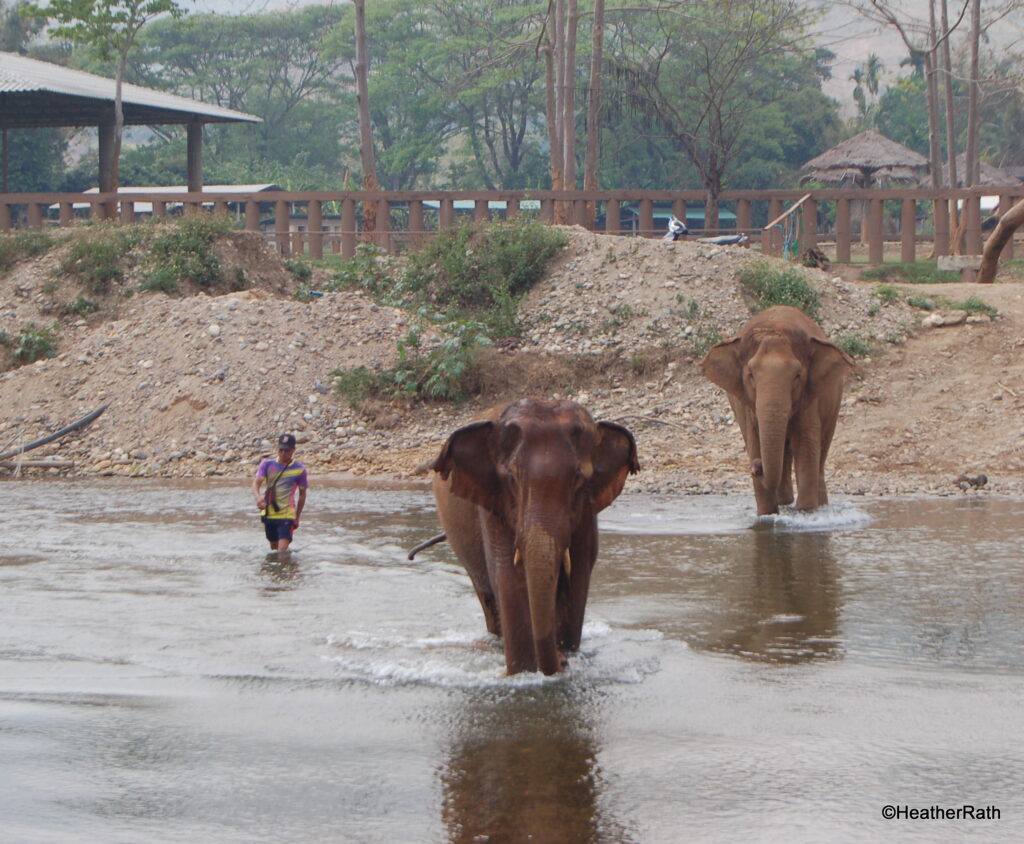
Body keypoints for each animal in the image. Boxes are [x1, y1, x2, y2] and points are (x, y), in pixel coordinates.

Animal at [432, 399, 638, 676]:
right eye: (511, 479)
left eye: (577, 479)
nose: (562, 661)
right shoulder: (493, 505)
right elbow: (508, 576)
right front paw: (525, 672)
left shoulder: (586, 514)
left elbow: (578, 575)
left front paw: (565, 656)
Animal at [704, 303, 856, 514]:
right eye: (750, 374)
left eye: (797, 375)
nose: (756, 467)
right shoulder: (749, 406)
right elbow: (755, 440)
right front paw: (768, 514)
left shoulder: (808, 399)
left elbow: (805, 444)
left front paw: (805, 511)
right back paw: (785, 499)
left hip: (834, 403)